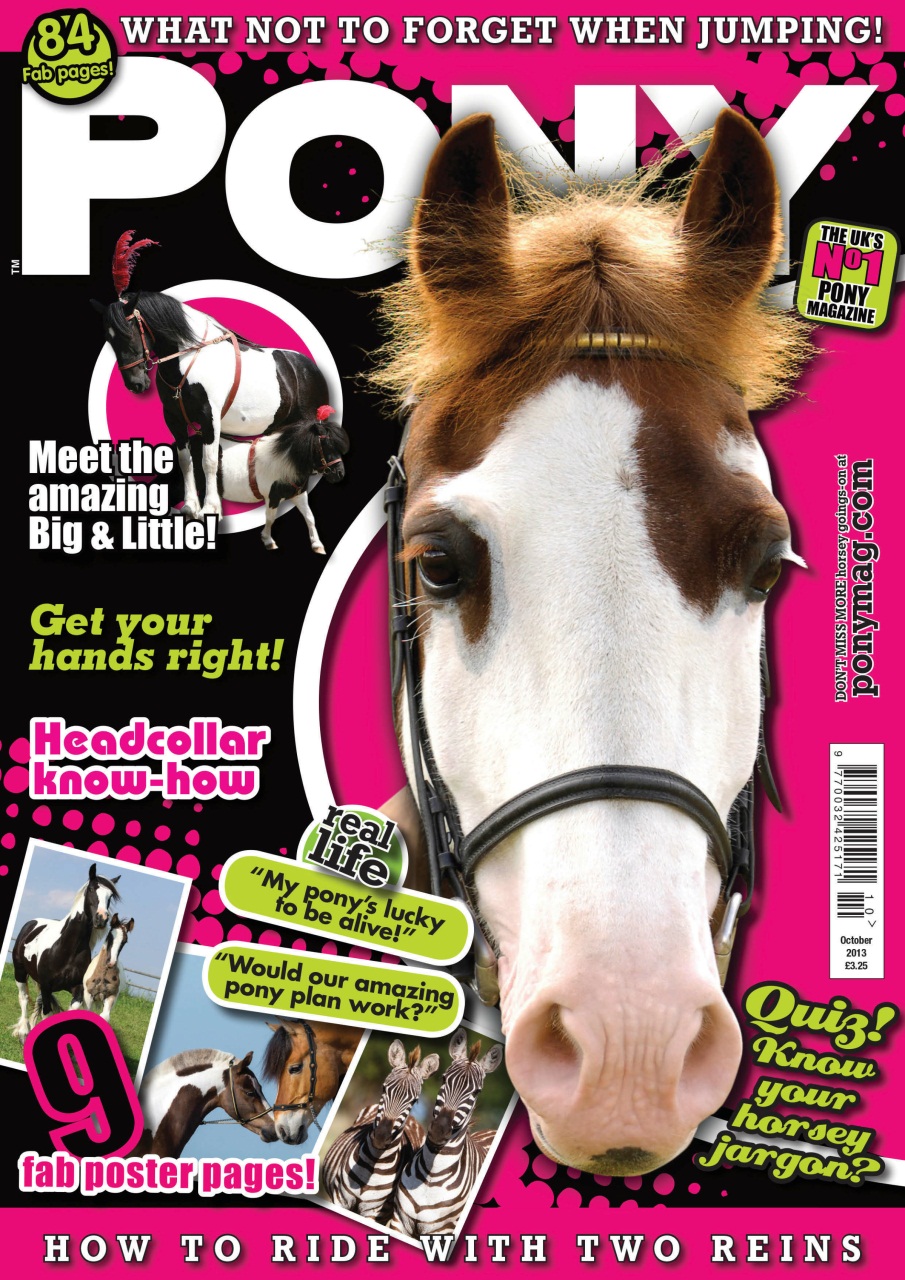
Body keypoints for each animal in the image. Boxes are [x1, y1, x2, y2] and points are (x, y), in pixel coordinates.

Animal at [10, 864, 122, 1040]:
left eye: (110, 895)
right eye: (91, 889)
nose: (102, 918)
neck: (68, 949)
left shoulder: (77, 989)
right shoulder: (46, 985)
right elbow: (46, 1013)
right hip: (20, 972)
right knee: (24, 997)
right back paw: (22, 1031)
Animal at [93, 234, 336, 519]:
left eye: (129, 330)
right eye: (108, 338)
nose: (135, 384)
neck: (187, 361)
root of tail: (310, 367)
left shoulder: (210, 418)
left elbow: (209, 461)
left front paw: (211, 508)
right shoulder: (174, 419)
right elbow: (186, 460)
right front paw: (190, 507)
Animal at [210, 412, 350, 552]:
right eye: (327, 445)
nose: (340, 474)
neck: (284, 464)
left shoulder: (299, 494)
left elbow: (310, 517)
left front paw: (317, 544)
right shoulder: (272, 498)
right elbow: (270, 519)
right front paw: (268, 540)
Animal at [321, 1041, 439, 1222]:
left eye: (415, 1101)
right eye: (384, 1088)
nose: (381, 1137)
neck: (373, 1163)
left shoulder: (373, 1211)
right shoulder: (340, 1199)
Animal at [391, 1030, 502, 1238]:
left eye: (477, 1092)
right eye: (443, 1079)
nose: (438, 1132)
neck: (431, 1176)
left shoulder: (442, 1232)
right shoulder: (399, 1222)